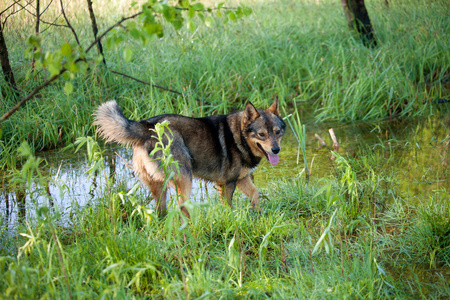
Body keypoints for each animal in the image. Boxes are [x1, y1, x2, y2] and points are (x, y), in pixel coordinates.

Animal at [93, 99, 286, 217]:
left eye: (277, 132)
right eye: (261, 134)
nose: (276, 150)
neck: (239, 135)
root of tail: (146, 127)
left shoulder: (242, 179)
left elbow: (255, 194)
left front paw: (259, 214)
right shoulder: (228, 183)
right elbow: (229, 207)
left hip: (158, 185)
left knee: (162, 211)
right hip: (185, 177)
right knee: (182, 207)